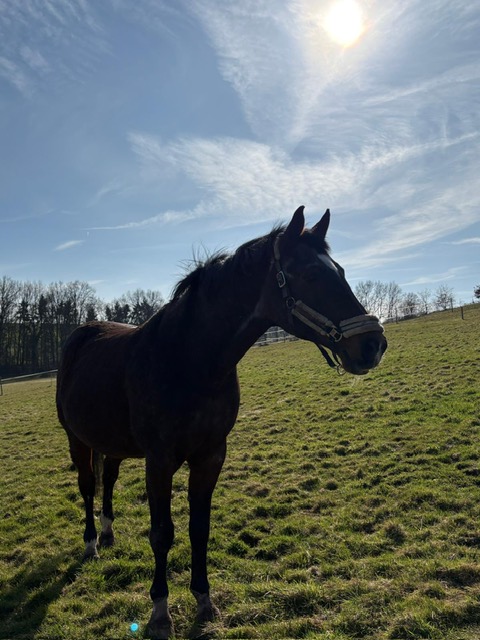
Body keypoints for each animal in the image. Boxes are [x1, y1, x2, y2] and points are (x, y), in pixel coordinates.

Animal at [56, 206, 387, 638]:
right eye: (311, 274)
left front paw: (203, 601)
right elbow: (162, 534)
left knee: (108, 480)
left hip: (113, 444)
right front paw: (160, 613)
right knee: (87, 487)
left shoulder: (211, 455)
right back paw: (92, 543)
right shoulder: (159, 461)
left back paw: (109, 532)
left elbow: (199, 528)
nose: (373, 345)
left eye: (341, 271)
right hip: (77, 441)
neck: (189, 359)